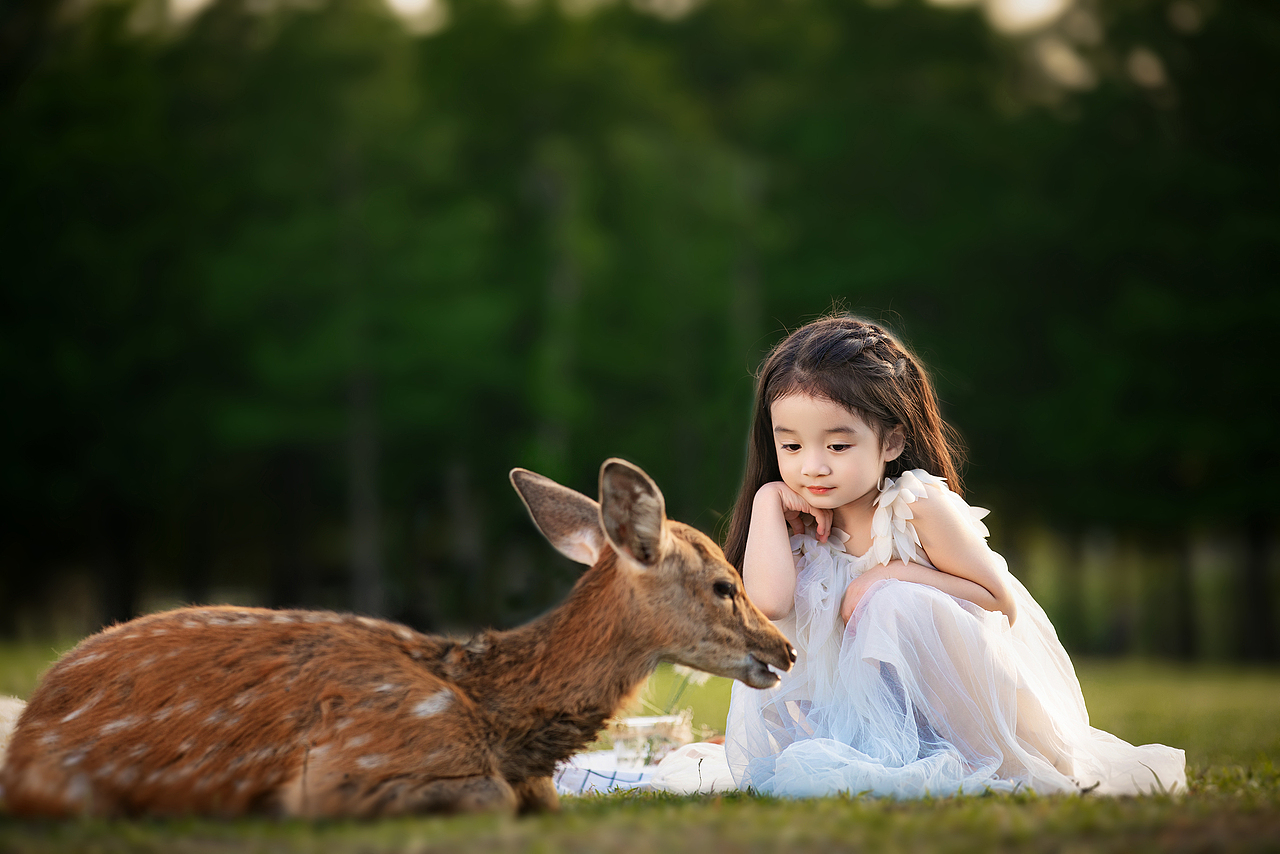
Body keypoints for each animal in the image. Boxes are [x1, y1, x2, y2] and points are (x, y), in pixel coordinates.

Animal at [0, 459, 795, 818]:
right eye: (724, 583)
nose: (782, 650)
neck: (493, 720)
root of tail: (32, 720)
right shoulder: (353, 762)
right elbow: (492, 799)